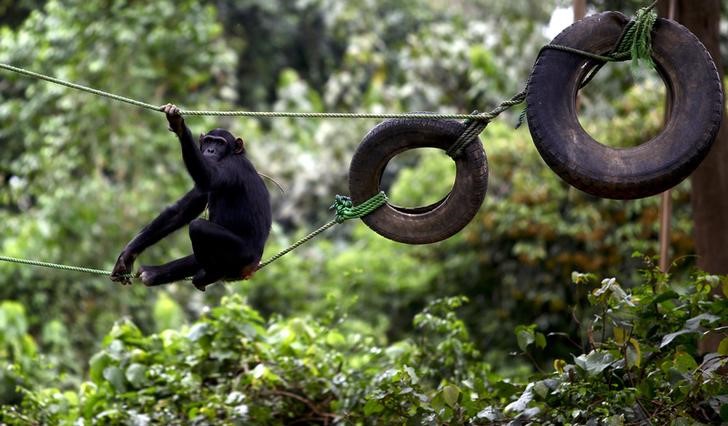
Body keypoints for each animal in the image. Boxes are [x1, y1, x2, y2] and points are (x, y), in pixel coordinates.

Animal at [112, 103, 272, 292]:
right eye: (209, 141)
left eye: (220, 143)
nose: (210, 150)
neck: (231, 155)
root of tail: (253, 266)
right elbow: (181, 211)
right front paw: (127, 255)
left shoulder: (230, 167)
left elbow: (208, 176)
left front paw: (179, 125)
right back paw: (153, 274)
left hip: (242, 256)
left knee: (198, 227)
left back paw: (211, 275)